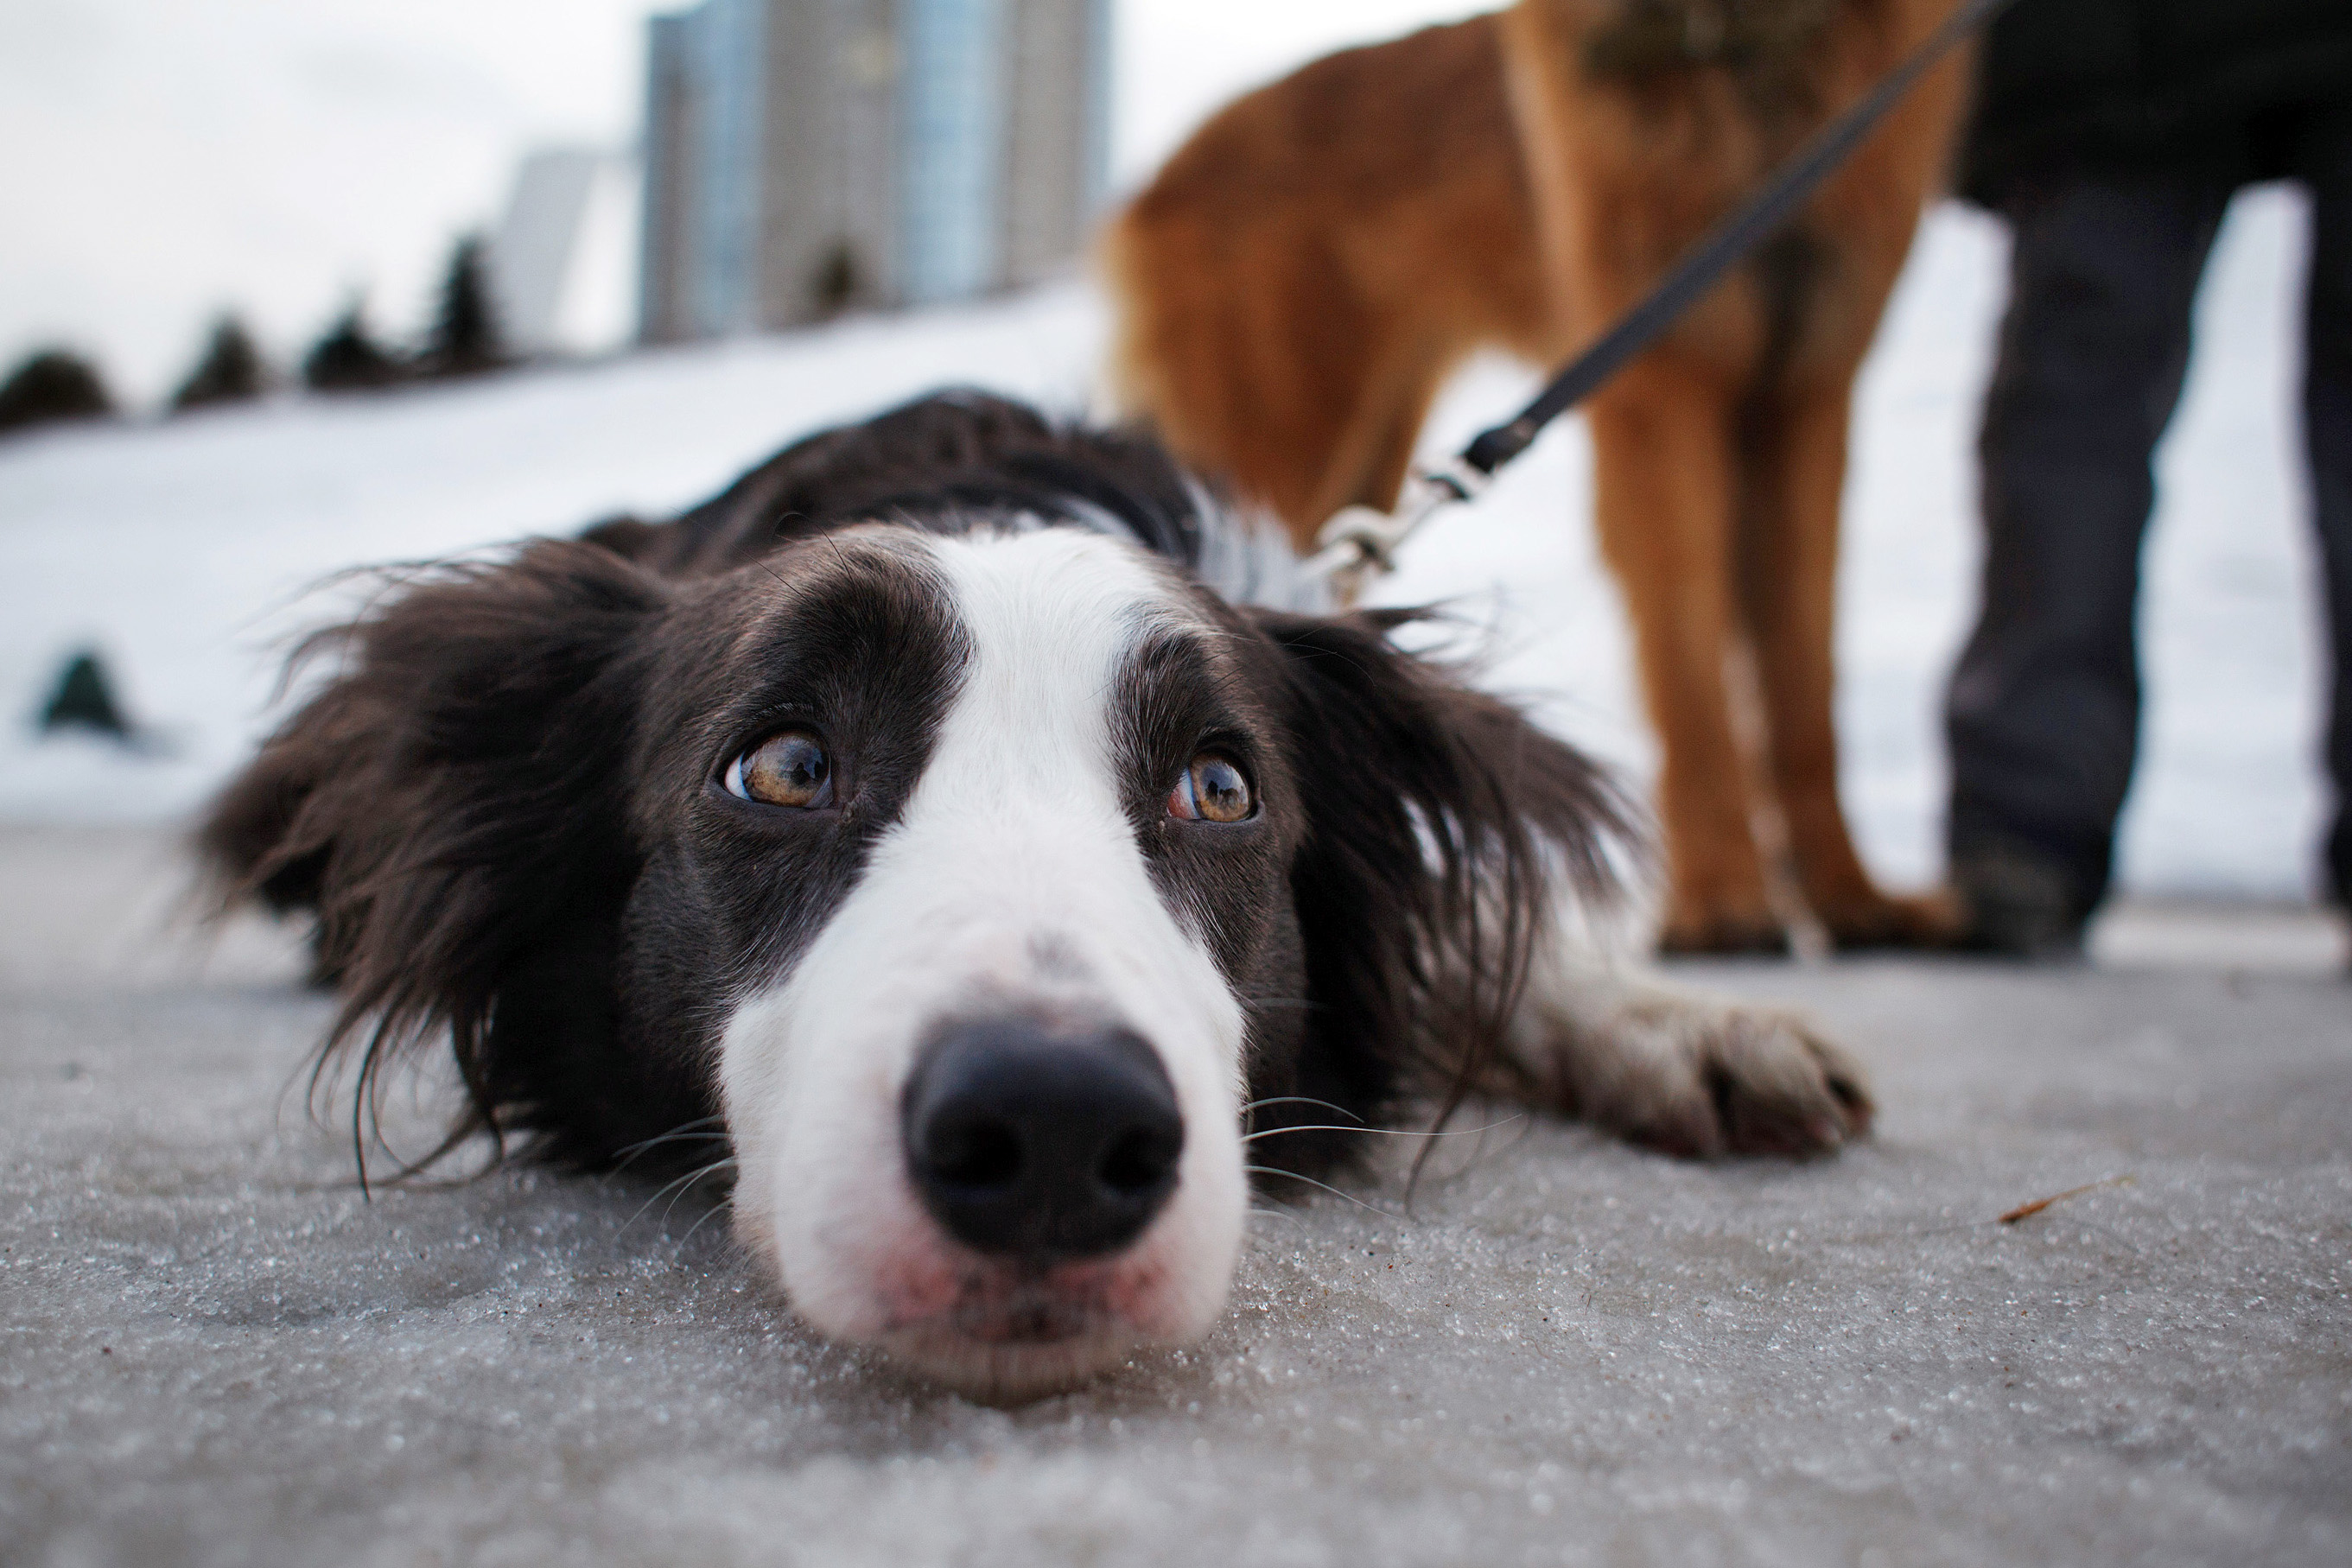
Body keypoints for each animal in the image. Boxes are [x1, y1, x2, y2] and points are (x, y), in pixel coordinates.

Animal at [1100, 0, 1966, 959]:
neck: (1736, 47)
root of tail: (1169, 168)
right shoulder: (1660, 385)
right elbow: (1691, 661)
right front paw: (1723, 893)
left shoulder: (1807, 393)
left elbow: (1803, 670)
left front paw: (1848, 893)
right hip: (1282, 446)